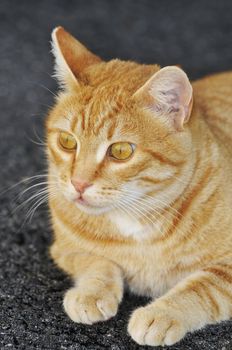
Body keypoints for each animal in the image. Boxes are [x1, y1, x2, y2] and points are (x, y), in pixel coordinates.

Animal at [46, 26, 232, 344]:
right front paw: (91, 292)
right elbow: (96, 261)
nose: (78, 183)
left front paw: (162, 313)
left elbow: (202, 287)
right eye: (67, 142)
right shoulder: (65, 248)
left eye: (121, 151)